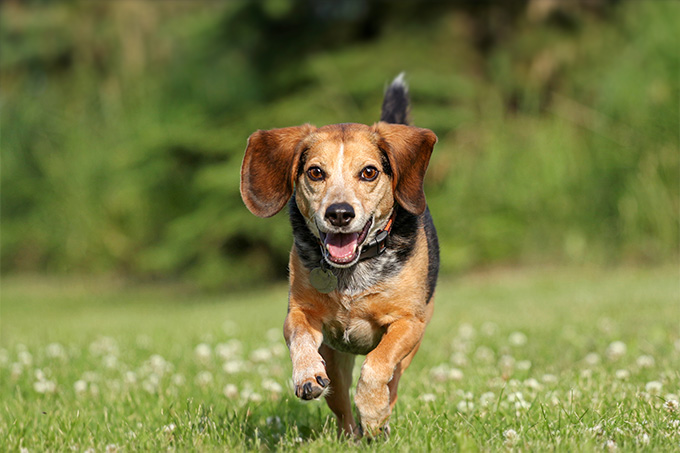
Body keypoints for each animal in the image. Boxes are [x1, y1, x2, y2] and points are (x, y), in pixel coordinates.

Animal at [242, 75, 438, 438]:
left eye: (369, 172)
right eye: (316, 172)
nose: (339, 213)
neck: (353, 270)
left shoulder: (408, 323)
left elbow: (378, 364)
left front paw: (372, 409)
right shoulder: (299, 313)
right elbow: (301, 336)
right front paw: (306, 374)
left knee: (390, 381)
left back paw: (377, 423)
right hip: (336, 361)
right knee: (342, 406)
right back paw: (352, 435)